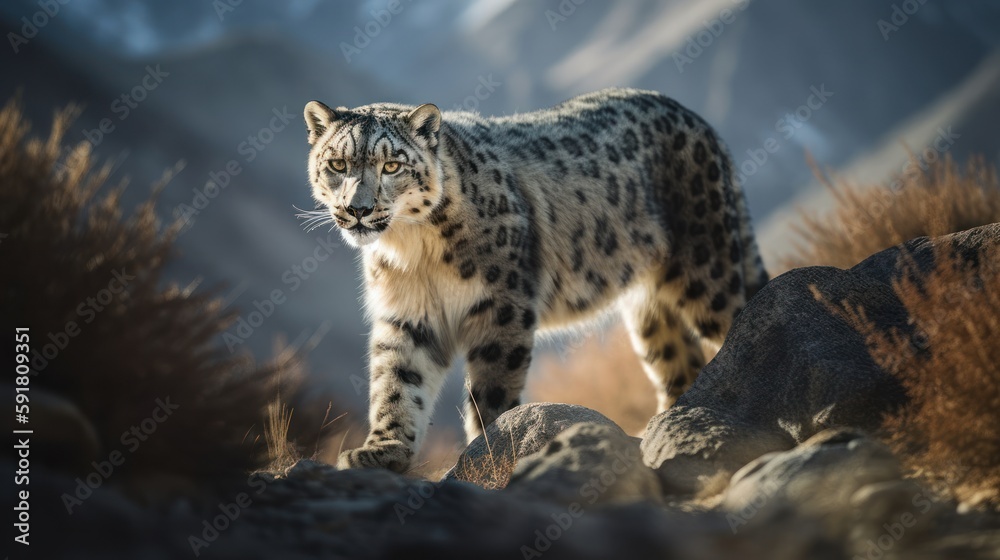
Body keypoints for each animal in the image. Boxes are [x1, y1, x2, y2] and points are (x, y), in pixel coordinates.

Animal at [302, 88, 767, 473]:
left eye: (392, 165)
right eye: (338, 163)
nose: (358, 209)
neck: (411, 249)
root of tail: (698, 120)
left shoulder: (502, 304)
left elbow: (491, 390)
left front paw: (487, 452)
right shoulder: (407, 315)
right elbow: (396, 383)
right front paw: (383, 450)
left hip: (706, 268)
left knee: (739, 319)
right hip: (648, 310)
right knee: (679, 363)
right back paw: (662, 429)